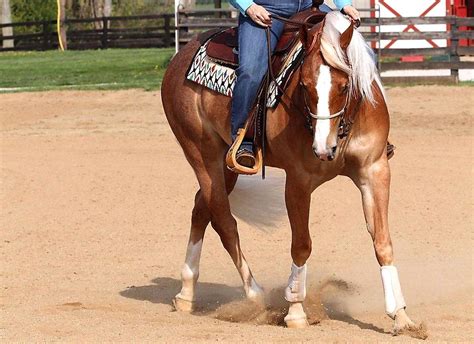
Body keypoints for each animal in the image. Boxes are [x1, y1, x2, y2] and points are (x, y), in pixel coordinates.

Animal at [161, 10, 424, 336]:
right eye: (304, 86)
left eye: (344, 86)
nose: (324, 148)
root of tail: (179, 58)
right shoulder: (298, 181)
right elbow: (301, 245)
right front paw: (296, 311)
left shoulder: (375, 171)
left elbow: (383, 242)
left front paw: (401, 316)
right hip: (202, 154)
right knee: (224, 220)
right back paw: (256, 296)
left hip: (227, 164)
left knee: (201, 208)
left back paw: (186, 292)